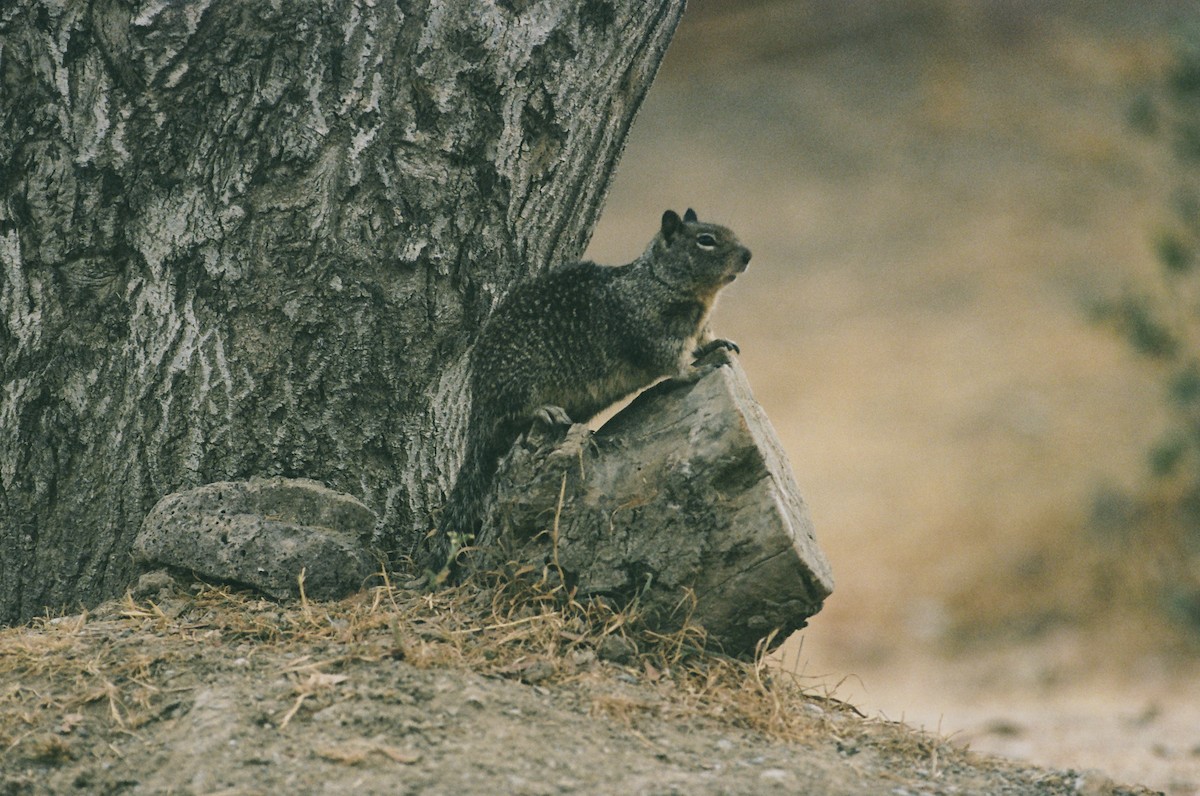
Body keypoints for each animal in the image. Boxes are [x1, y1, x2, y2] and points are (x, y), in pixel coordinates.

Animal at [427, 208, 752, 578]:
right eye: (705, 240)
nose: (747, 255)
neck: (655, 283)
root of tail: (477, 403)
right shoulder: (652, 336)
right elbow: (673, 363)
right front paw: (696, 371)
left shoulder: (695, 328)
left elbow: (703, 340)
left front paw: (719, 343)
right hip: (517, 384)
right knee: (512, 413)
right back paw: (545, 410)